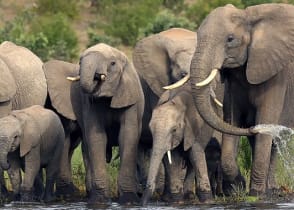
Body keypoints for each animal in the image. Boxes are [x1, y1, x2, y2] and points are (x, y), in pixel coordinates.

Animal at [181, 3, 294, 197]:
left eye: (230, 39)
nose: (251, 128)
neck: (248, 16)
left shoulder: (276, 76)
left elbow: (265, 121)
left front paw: (256, 194)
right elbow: (231, 121)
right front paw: (237, 188)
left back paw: (268, 190)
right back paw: (270, 190)